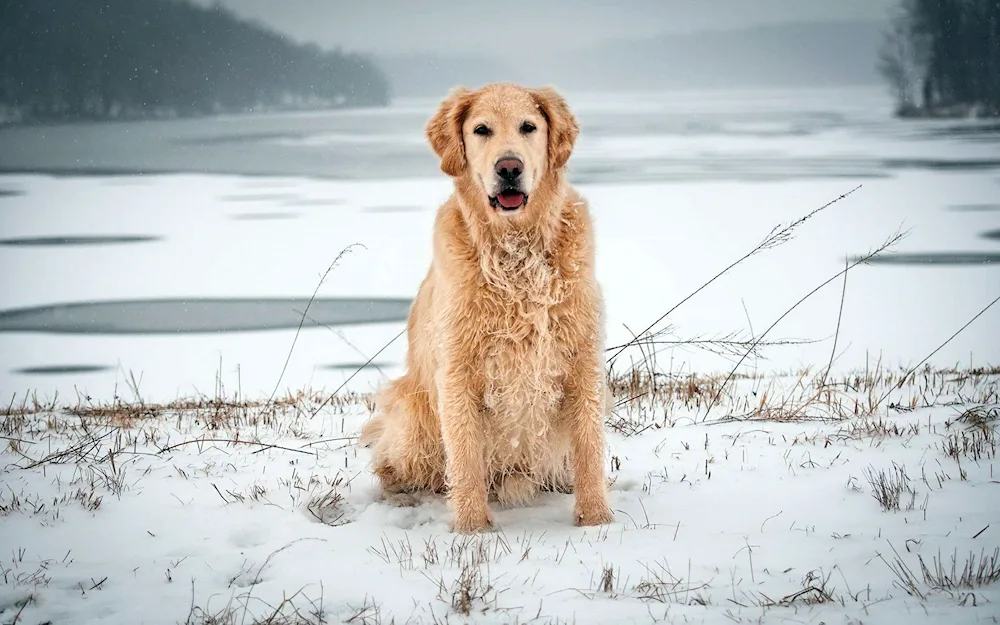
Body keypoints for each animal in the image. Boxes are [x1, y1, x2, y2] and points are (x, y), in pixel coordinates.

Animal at [360, 81, 608, 532]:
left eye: (528, 126)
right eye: (481, 130)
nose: (509, 167)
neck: (515, 251)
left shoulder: (583, 361)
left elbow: (589, 448)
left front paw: (597, 521)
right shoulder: (458, 371)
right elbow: (465, 459)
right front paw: (472, 528)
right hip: (413, 417)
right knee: (389, 464)